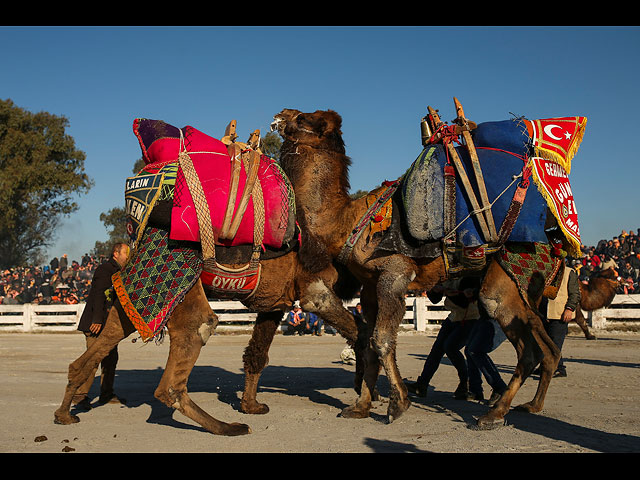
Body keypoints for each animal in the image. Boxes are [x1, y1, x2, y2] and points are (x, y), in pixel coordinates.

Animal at [270, 108, 584, 428]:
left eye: (304, 119)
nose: (280, 115)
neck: (346, 222)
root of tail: (556, 243)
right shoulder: (369, 287)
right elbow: (369, 341)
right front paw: (360, 406)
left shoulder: (394, 275)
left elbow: (381, 340)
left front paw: (398, 404)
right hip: (526, 292)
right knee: (547, 348)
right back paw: (531, 405)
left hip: (506, 280)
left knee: (524, 344)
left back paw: (494, 413)